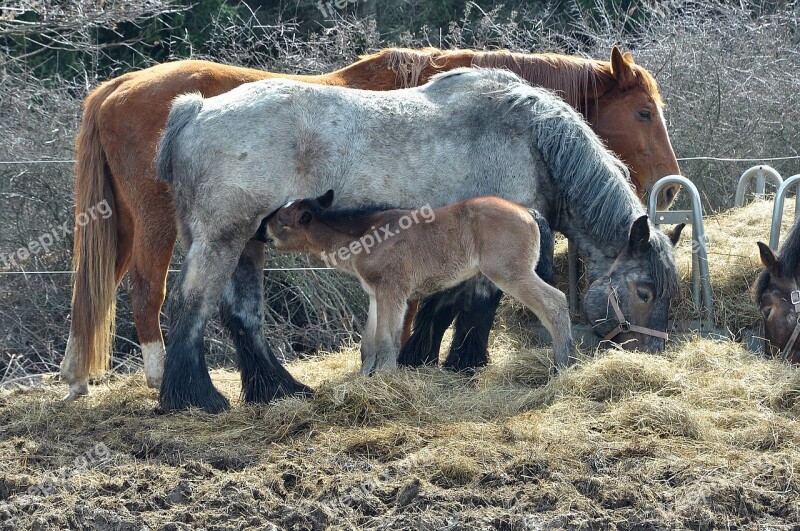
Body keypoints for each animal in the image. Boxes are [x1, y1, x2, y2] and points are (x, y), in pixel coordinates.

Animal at [61, 46, 680, 400]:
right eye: (645, 290)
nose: (649, 355)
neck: (528, 134)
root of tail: (194, 109)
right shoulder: (492, 250)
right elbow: (471, 307)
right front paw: (459, 364)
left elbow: (433, 306)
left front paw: (415, 360)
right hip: (216, 238)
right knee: (185, 306)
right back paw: (193, 396)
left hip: (244, 244)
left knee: (241, 316)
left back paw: (278, 390)